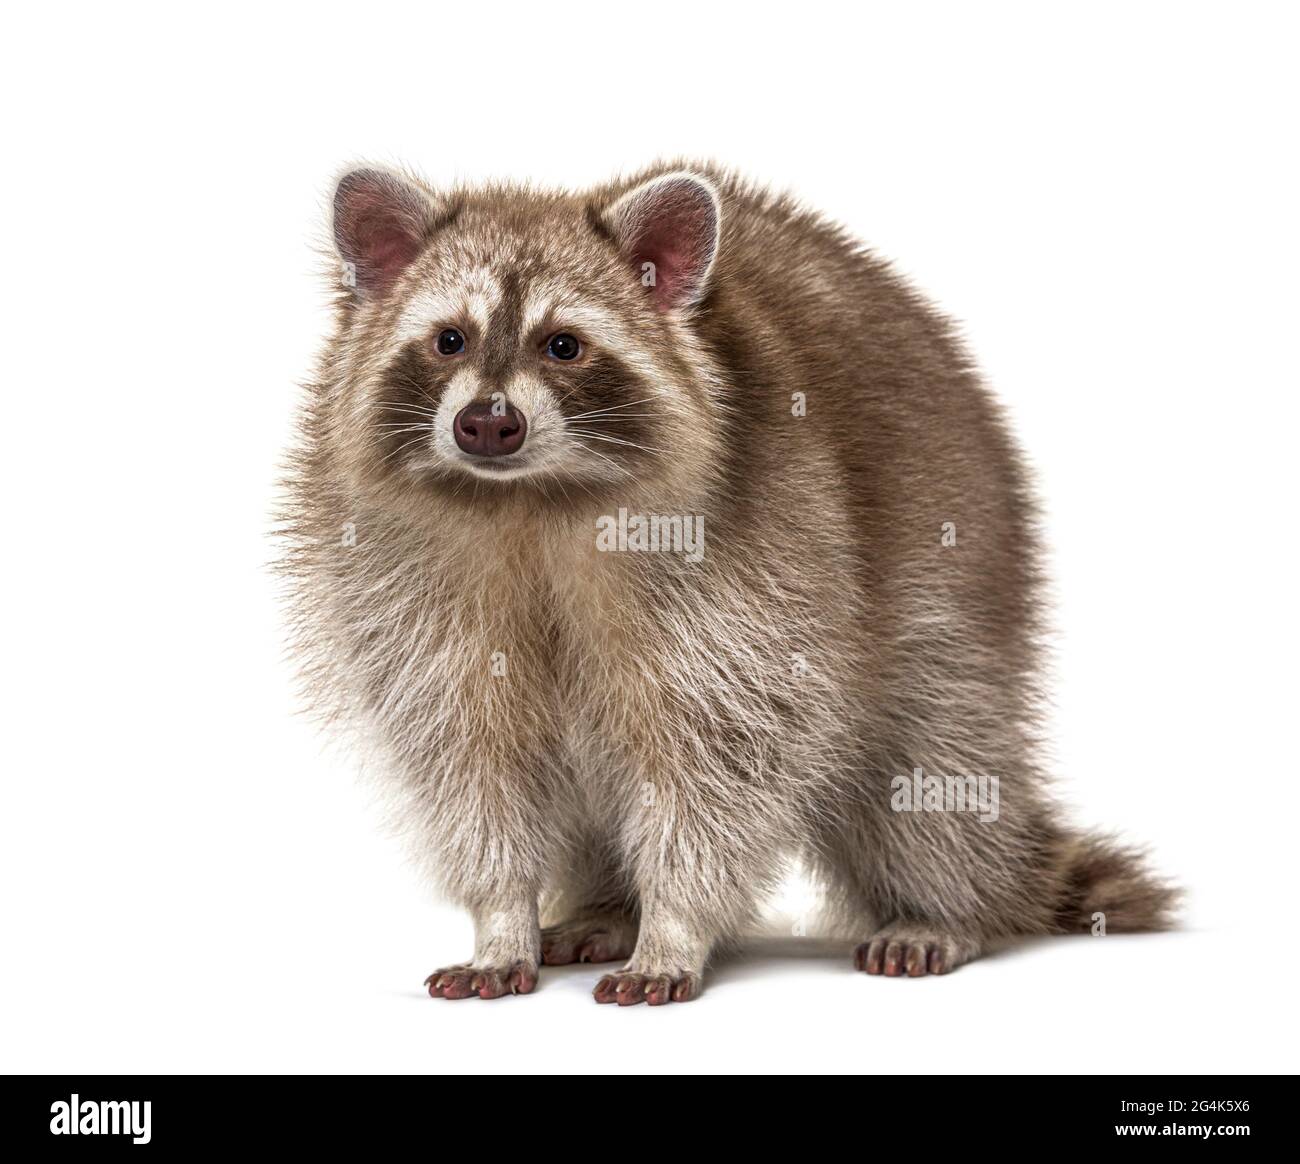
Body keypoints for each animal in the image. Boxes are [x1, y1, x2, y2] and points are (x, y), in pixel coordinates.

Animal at [279, 162, 1177, 1005]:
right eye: (449, 341)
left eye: (564, 345)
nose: (487, 423)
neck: (531, 499)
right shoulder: (405, 586)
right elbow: (471, 763)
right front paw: (504, 919)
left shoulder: (761, 566)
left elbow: (721, 767)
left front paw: (672, 928)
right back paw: (608, 905)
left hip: (960, 576)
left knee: (936, 762)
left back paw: (947, 909)